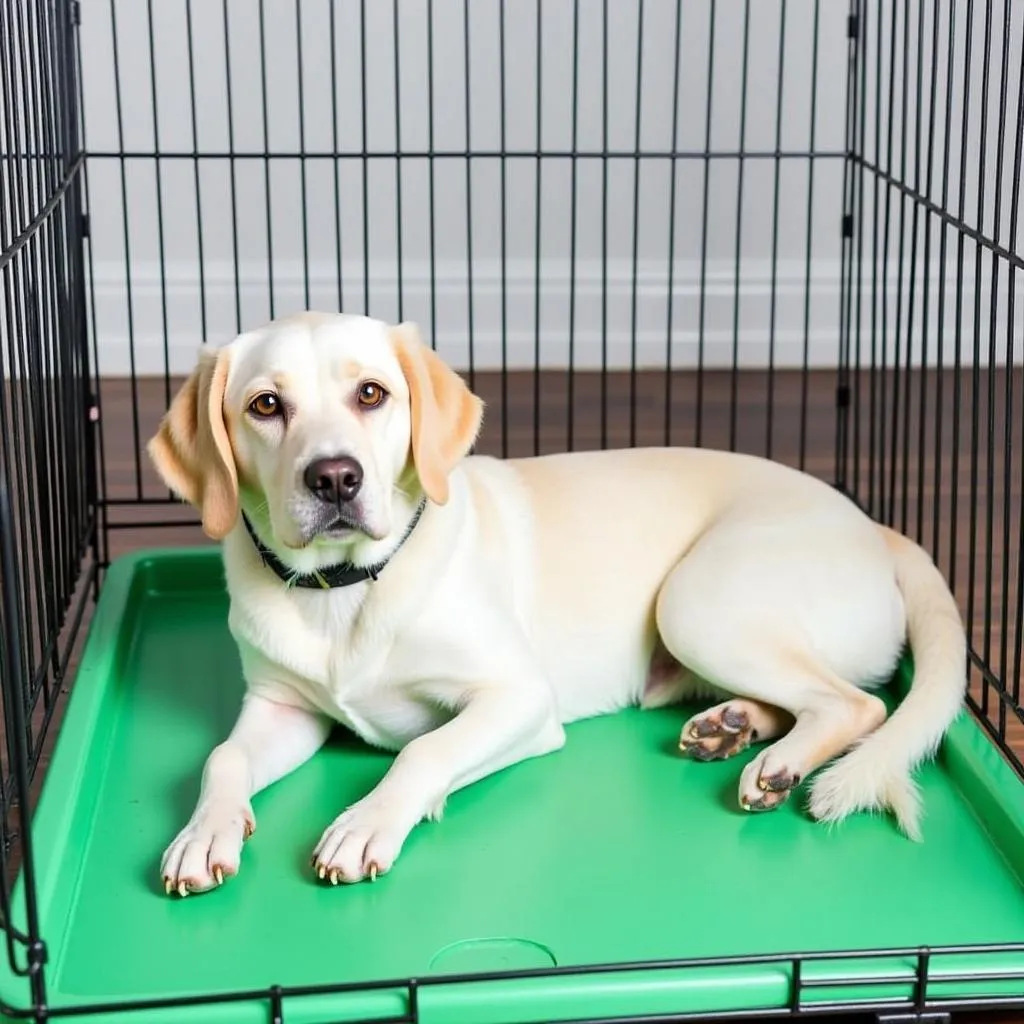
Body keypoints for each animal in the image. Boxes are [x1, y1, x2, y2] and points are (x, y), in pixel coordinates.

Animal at [148, 309, 962, 897]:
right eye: (265, 405)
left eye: (371, 394)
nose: (335, 479)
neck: (348, 589)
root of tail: (879, 528)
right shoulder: (279, 707)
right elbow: (223, 755)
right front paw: (203, 833)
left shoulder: (519, 698)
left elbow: (423, 749)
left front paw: (366, 821)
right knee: (812, 697)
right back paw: (734, 730)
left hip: (696, 602)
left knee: (858, 704)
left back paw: (778, 760)